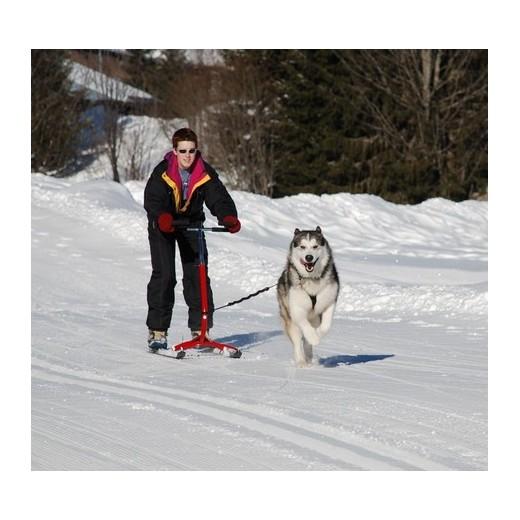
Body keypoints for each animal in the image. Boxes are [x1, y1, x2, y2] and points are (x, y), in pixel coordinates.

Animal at [278, 226, 340, 366]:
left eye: (315, 246)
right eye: (302, 247)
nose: (309, 257)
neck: (311, 279)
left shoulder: (329, 301)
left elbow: (326, 326)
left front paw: (317, 335)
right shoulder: (296, 309)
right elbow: (304, 325)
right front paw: (313, 337)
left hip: (315, 318)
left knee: (306, 343)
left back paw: (309, 357)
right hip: (288, 317)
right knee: (296, 340)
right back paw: (301, 362)